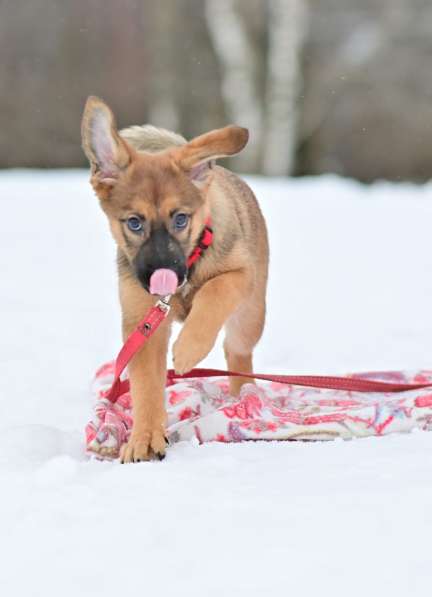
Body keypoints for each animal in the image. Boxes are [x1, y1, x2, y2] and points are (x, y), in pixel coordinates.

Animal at [81, 96, 268, 460]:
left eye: (181, 219)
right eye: (134, 223)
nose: (161, 279)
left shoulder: (240, 274)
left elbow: (215, 290)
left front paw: (188, 349)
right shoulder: (144, 324)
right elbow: (146, 386)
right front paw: (144, 439)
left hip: (251, 314)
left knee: (238, 352)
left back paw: (243, 395)